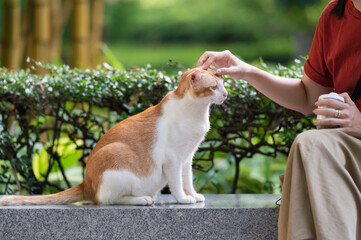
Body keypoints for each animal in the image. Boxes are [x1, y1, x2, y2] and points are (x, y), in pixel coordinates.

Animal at [0, 66, 226, 205]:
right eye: (214, 87)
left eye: (223, 84)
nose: (225, 94)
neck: (196, 113)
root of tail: (86, 183)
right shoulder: (173, 160)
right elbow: (177, 184)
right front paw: (183, 198)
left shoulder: (187, 158)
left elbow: (187, 180)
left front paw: (193, 195)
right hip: (117, 159)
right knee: (107, 200)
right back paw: (142, 199)